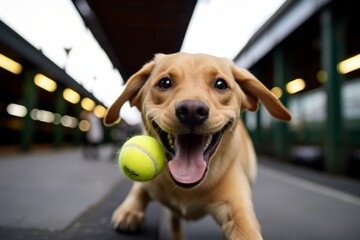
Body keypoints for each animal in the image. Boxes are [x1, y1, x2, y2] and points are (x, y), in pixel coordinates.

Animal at [103, 53, 290, 240]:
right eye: (165, 82)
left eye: (220, 84)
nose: (191, 110)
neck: (187, 188)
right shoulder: (151, 185)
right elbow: (139, 188)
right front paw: (130, 210)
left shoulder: (235, 203)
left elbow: (245, 228)